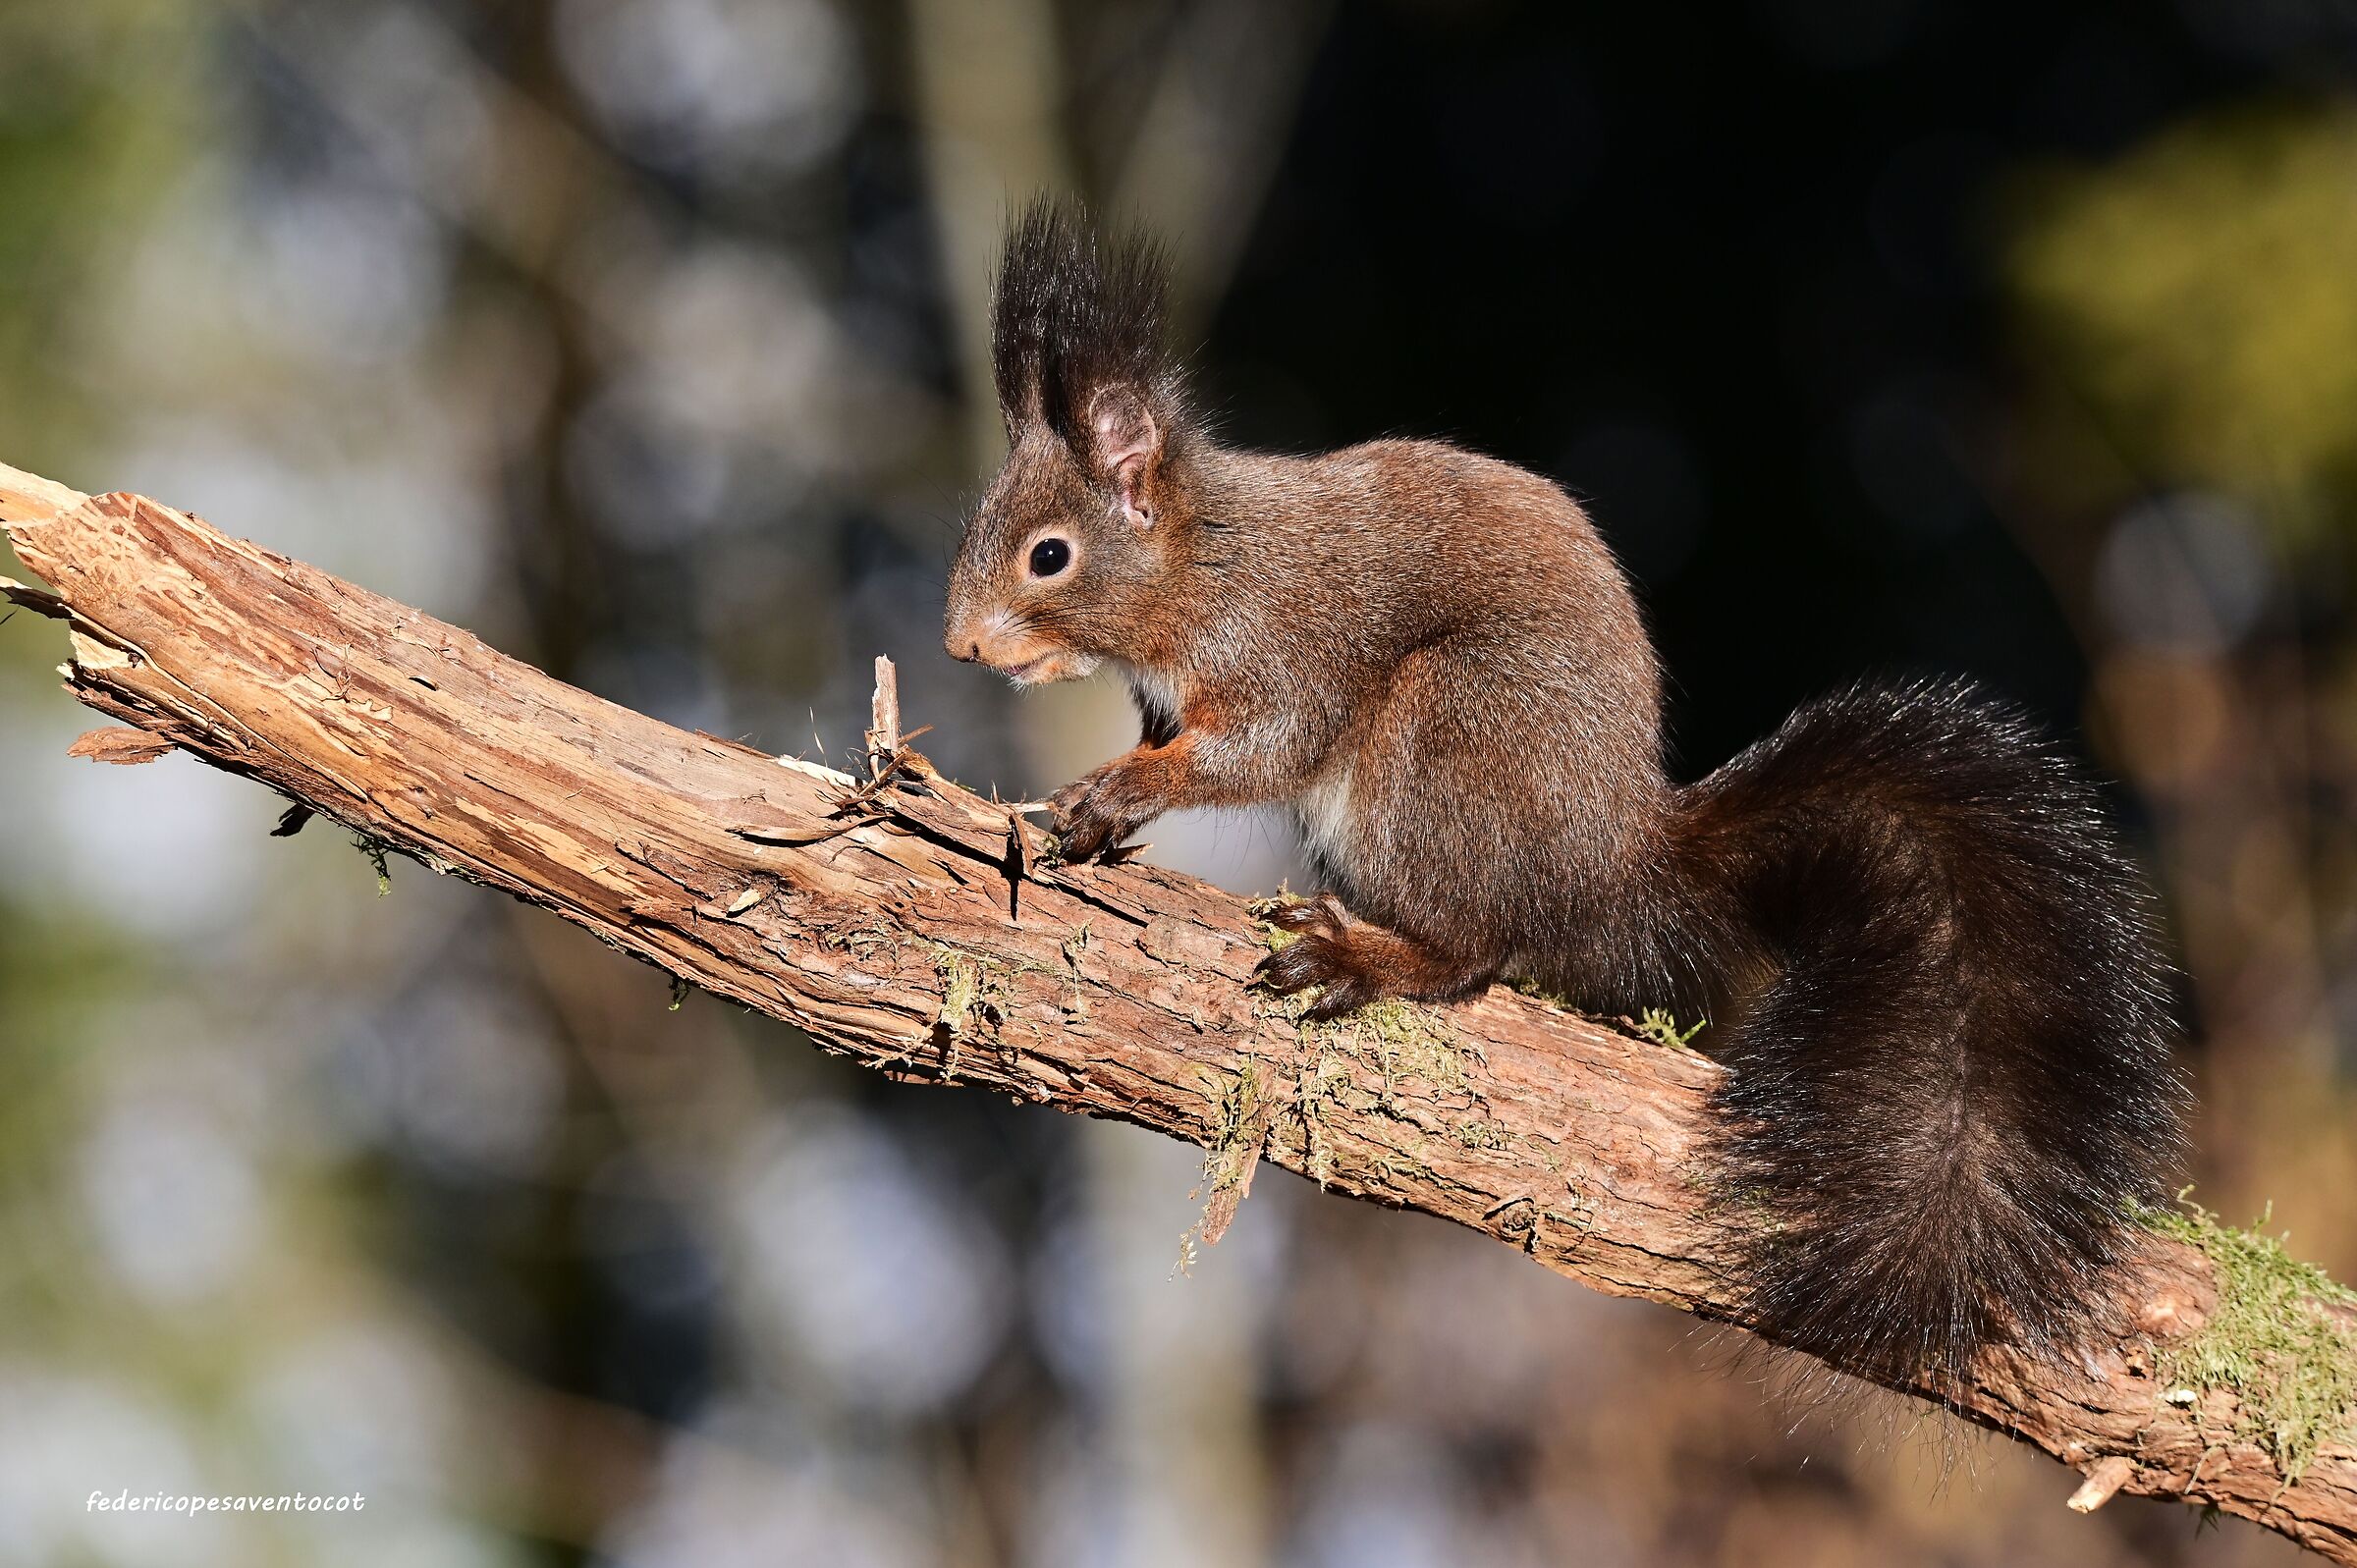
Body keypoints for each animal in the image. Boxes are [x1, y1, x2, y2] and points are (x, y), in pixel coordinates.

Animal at [943, 198, 2186, 1385]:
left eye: (1047, 556)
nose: (958, 647)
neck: (1202, 560)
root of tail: (1618, 863)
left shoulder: (1286, 643)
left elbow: (1256, 748)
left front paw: (1116, 792)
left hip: (1444, 735)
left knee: (1477, 950)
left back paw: (1365, 954)